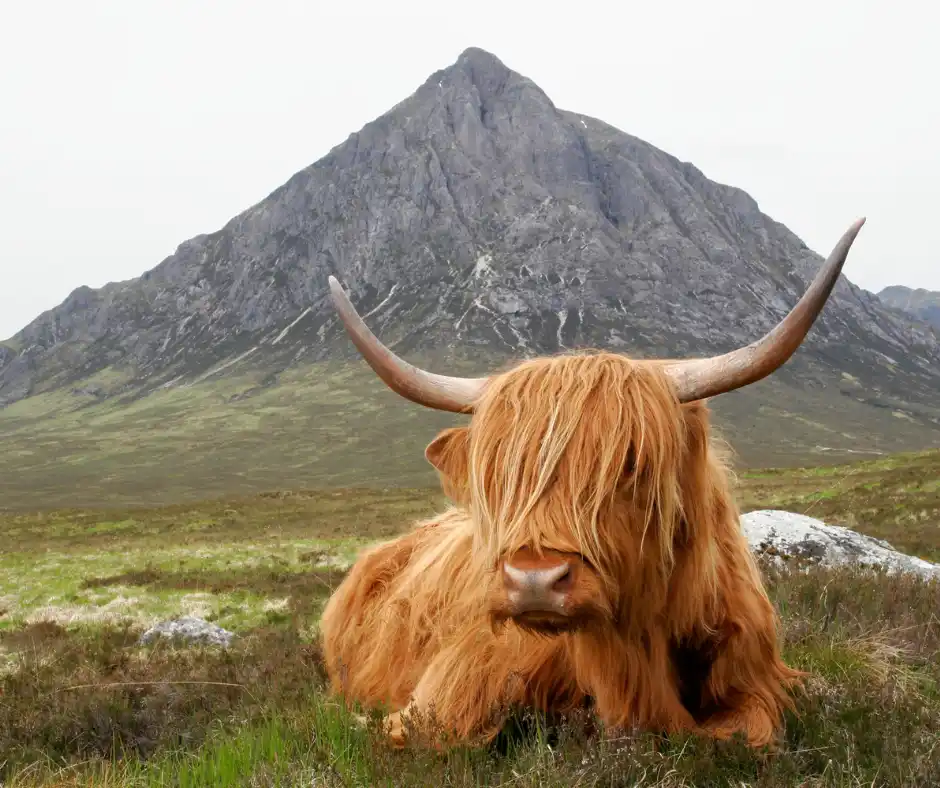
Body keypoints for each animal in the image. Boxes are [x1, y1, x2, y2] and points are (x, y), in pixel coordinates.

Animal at [318, 218, 866, 750]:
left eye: (631, 461)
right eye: (498, 473)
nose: (534, 581)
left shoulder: (757, 679)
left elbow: (746, 735)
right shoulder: (453, 683)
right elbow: (435, 733)